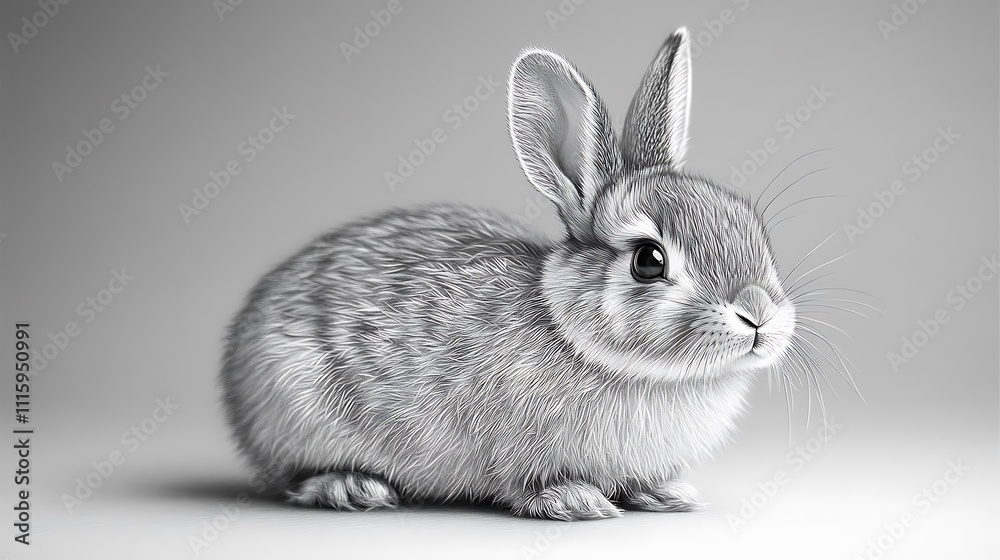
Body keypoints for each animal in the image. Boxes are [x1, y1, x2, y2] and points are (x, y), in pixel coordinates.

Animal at [220, 27, 797, 521]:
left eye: (751, 225)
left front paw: (666, 493)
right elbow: (525, 483)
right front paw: (575, 500)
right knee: (293, 476)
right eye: (648, 260)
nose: (759, 315)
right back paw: (351, 487)